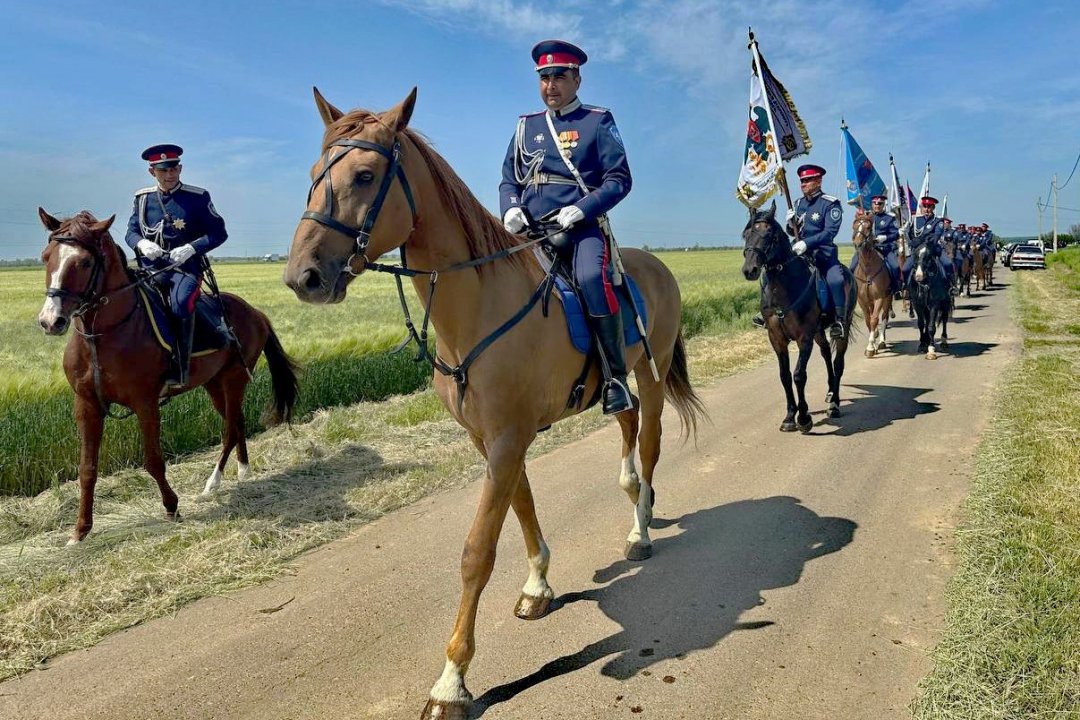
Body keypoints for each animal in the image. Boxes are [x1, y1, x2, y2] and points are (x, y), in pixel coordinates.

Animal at [37, 211, 298, 544]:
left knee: (229, 429)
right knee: (237, 422)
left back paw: (212, 483)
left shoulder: (145, 402)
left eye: (83, 262)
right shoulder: (86, 405)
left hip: (234, 378)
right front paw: (80, 531)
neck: (102, 335)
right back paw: (243, 471)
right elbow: (87, 468)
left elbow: (153, 460)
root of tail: (256, 312)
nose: (50, 321)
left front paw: (172, 507)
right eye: (46, 257)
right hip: (214, 383)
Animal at [282, 88, 704, 720]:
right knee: (627, 428)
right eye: (312, 174)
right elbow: (523, 508)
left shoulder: (508, 439)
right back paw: (632, 497)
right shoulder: (492, 439)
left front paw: (451, 680)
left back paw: (641, 531)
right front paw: (537, 587)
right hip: (622, 382)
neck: (478, 308)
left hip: (650, 382)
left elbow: (477, 551)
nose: (302, 277)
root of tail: (655, 264)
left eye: (364, 175)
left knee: (649, 446)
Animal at [851, 213, 894, 360]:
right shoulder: (862, 300)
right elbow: (868, 320)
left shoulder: (879, 298)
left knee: (885, 317)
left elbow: (875, 319)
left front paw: (870, 347)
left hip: (887, 298)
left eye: (868, 227)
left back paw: (881, 341)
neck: (867, 269)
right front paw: (872, 344)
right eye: (854, 226)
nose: (858, 243)